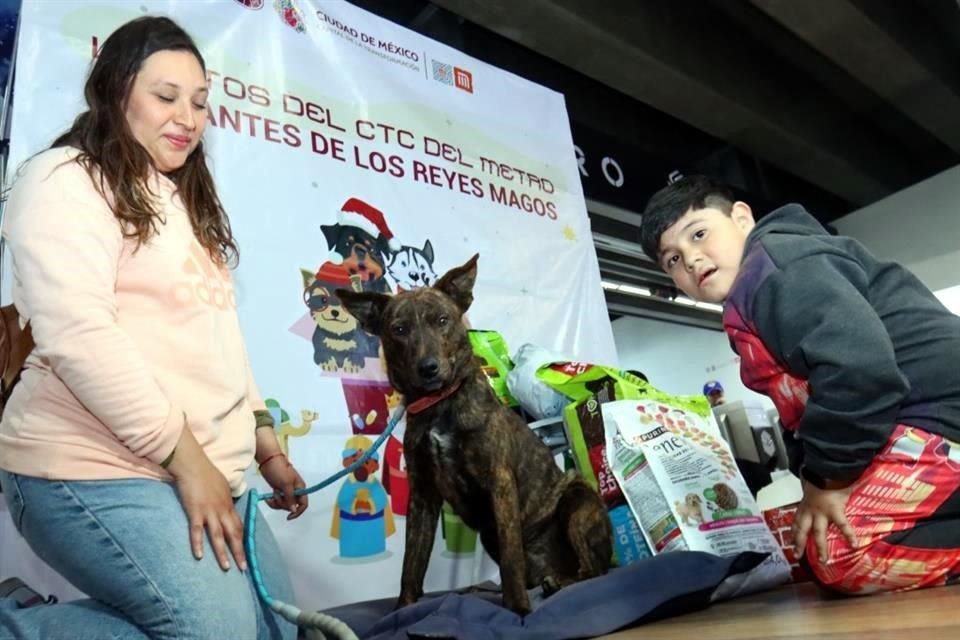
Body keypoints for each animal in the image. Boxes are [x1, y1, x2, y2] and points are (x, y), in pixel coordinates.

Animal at [336, 255, 608, 616]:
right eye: (399, 329)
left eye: (442, 320)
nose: (428, 368)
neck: (440, 404)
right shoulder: (423, 495)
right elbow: (411, 564)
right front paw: (404, 609)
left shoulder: (499, 482)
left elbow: (511, 558)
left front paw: (518, 610)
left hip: (577, 505)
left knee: (593, 570)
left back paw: (560, 583)